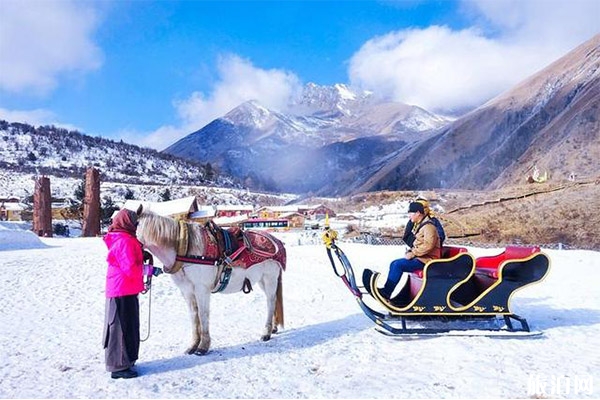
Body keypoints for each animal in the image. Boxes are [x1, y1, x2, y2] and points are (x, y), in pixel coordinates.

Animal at [136, 208, 286, 354]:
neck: (185, 248)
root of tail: (277, 241)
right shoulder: (187, 291)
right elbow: (194, 316)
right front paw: (193, 345)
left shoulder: (202, 289)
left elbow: (203, 315)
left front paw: (203, 346)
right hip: (262, 281)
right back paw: (273, 328)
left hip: (269, 278)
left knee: (270, 302)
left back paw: (266, 332)